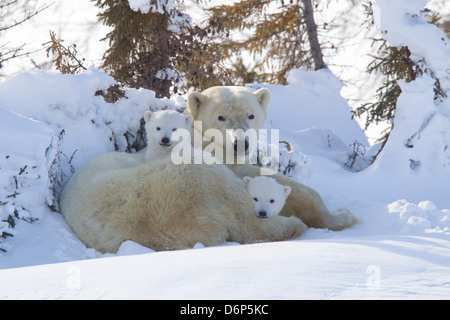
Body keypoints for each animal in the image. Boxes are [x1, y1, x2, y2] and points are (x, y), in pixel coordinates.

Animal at [59, 86, 356, 254]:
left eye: (251, 115)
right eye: (221, 116)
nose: (241, 143)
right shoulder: (216, 156)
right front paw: (336, 216)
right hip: (183, 180)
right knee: (246, 219)